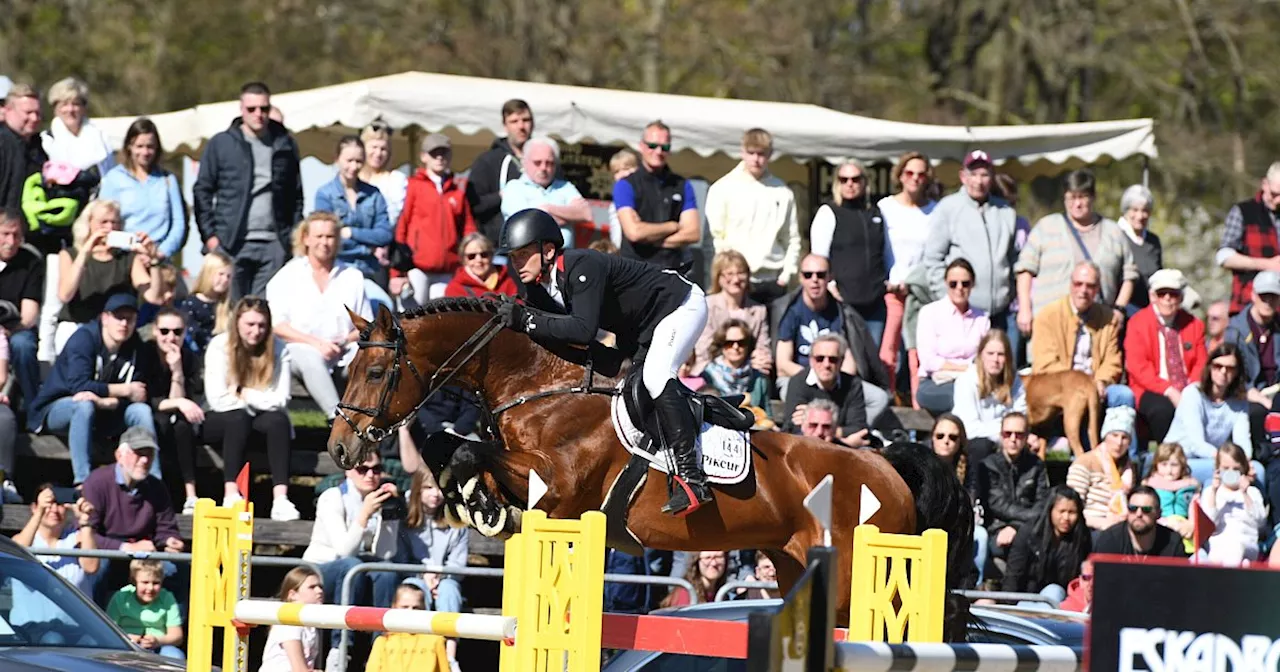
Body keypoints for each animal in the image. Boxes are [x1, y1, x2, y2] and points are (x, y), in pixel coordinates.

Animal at [327, 296, 967, 634]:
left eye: (377, 372)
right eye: (348, 369)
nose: (340, 449)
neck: (538, 383)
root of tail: (886, 466)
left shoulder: (559, 486)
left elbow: (467, 449)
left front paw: (473, 496)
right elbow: (458, 449)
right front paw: (474, 502)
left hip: (861, 584)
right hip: (796, 570)